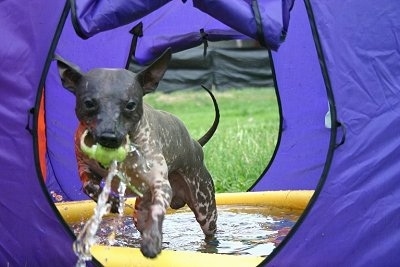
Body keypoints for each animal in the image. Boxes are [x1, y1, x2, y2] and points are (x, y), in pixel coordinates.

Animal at [54, 48, 219, 260]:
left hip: (205, 210)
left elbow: (157, 211)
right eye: (89, 103)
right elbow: (90, 187)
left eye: (130, 105)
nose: (109, 137)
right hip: (139, 213)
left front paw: (152, 241)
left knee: (209, 233)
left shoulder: (161, 185)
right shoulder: (84, 167)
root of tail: (196, 144)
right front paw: (113, 202)